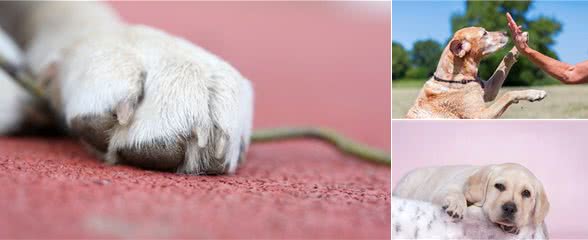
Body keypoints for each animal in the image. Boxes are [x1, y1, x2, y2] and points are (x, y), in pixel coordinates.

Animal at [392, 163, 548, 234]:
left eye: (526, 193)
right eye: (499, 186)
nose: (510, 208)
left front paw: (512, 226)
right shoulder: (445, 188)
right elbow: (456, 194)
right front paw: (456, 206)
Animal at [404, 26, 548, 118]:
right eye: (484, 34)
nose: (506, 32)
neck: (457, 78)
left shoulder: (489, 90)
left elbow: (506, 59)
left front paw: (520, 40)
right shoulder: (481, 115)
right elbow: (508, 94)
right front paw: (536, 93)